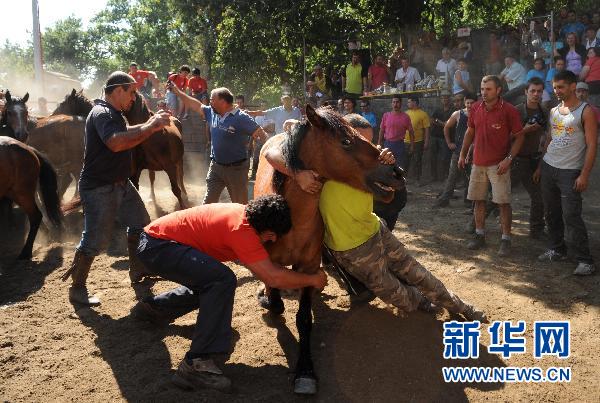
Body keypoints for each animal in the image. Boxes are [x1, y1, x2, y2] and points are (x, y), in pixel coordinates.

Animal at [253, 104, 404, 394]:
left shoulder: (309, 267)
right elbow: (276, 302)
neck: (290, 220)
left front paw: (305, 371)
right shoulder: (270, 264)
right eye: (345, 141)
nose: (396, 173)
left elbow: (303, 318)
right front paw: (267, 297)